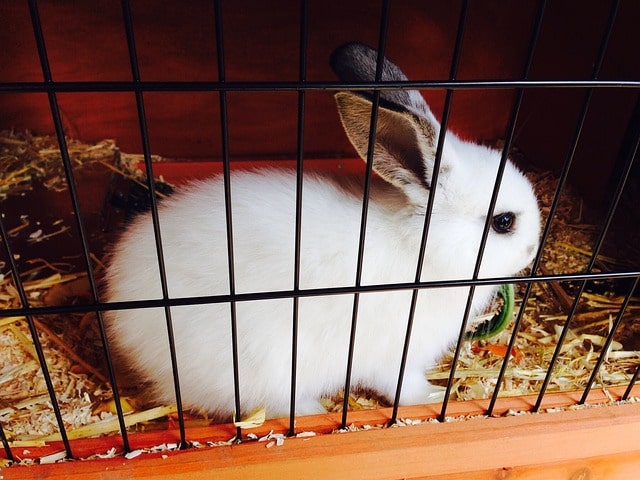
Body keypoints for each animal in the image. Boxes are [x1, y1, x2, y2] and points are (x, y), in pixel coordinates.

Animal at [106, 43, 540, 418]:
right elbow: (401, 385)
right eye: (504, 222)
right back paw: (313, 411)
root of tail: (122, 317)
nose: (534, 248)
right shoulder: (394, 353)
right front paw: (433, 395)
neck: (423, 251)